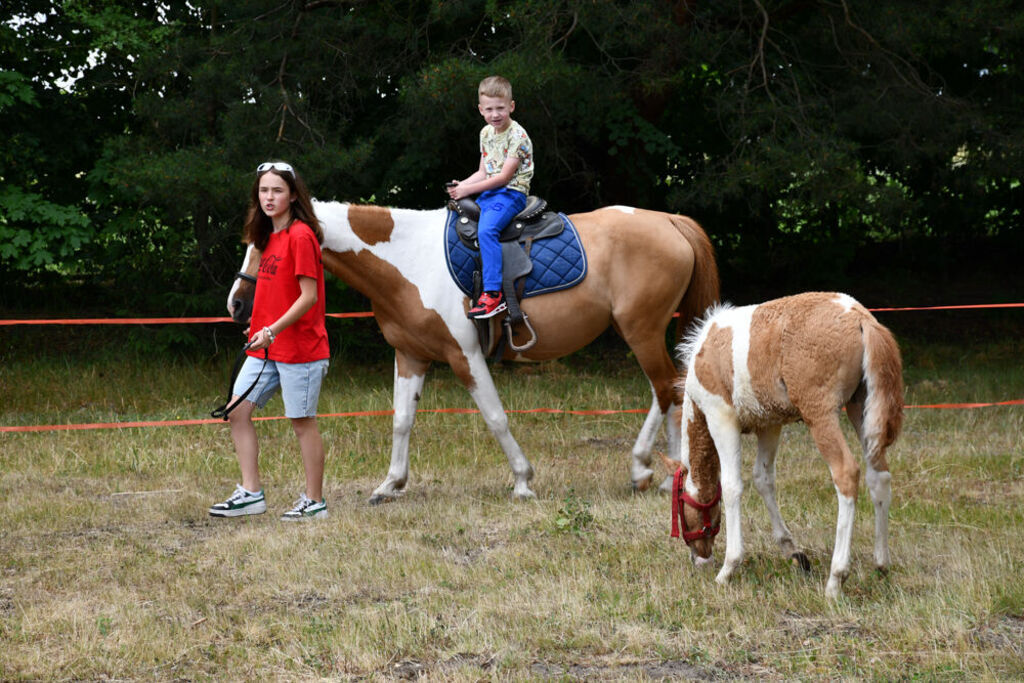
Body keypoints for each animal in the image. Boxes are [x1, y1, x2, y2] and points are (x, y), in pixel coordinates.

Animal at [228, 200, 716, 505]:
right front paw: (390, 484)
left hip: (641, 330)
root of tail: (669, 220)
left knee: (667, 389)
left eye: (269, 246)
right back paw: (658, 472)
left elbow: (495, 417)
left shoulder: (465, 355)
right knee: (670, 391)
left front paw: (522, 481)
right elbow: (402, 420)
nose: (235, 305)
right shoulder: (411, 356)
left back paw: (657, 471)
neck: (408, 260)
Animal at [667, 294, 901, 598]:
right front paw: (794, 553)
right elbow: (763, 479)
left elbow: (732, 486)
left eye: (680, 509)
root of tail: (861, 318)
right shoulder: (770, 425)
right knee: (879, 475)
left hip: (819, 413)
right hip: (861, 408)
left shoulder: (721, 416)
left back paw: (836, 578)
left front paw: (728, 568)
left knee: (846, 473)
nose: (699, 558)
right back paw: (881, 564)